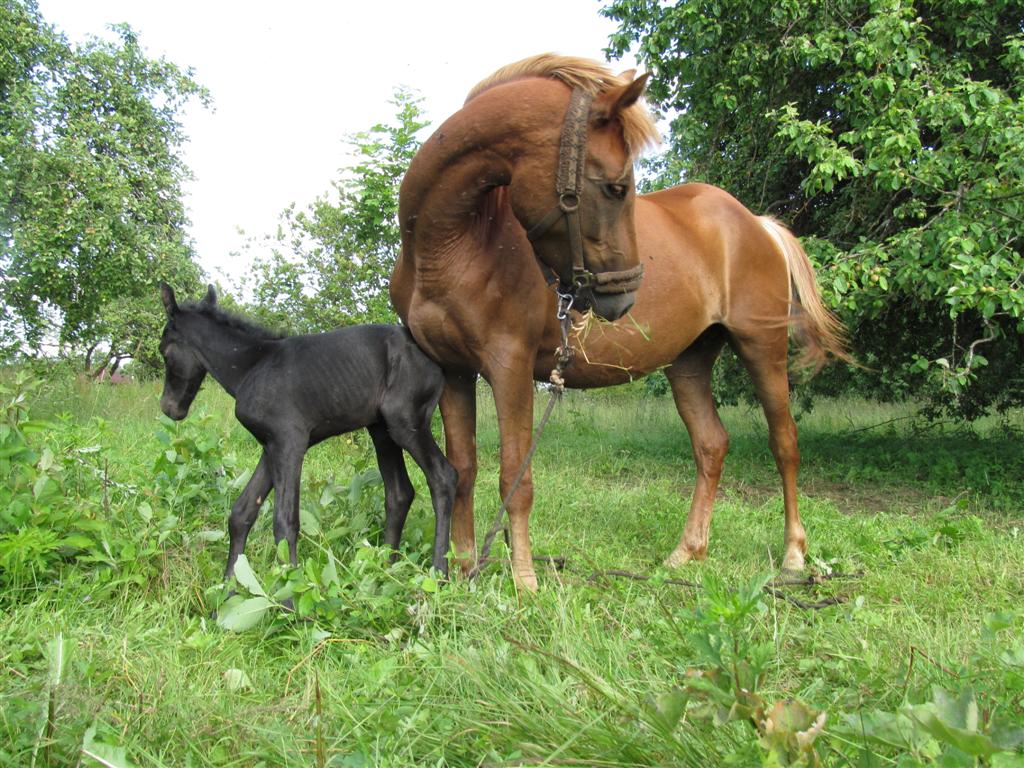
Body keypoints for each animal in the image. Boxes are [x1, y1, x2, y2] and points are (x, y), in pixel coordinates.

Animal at [158, 286, 456, 581]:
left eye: (164, 351)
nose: (169, 408)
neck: (251, 366)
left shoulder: (290, 443)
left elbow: (285, 520)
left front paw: (290, 588)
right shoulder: (271, 447)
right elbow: (242, 513)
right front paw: (229, 587)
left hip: (406, 422)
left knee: (443, 477)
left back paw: (439, 572)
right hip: (382, 430)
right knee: (399, 493)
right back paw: (382, 571)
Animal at [387, 57, 843, 593]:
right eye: (615, 186)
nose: (624, 296)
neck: (454, 244)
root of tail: (756, 224)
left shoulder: (508, 366)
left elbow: (515, 478)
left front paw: (524, 583)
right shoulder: (455, 371)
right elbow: (464, 468)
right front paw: (463, 569)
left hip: (761, 347)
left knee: (784, 442)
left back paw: (793, 556)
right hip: (688, 362)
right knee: (711, 445)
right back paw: (685, 554)